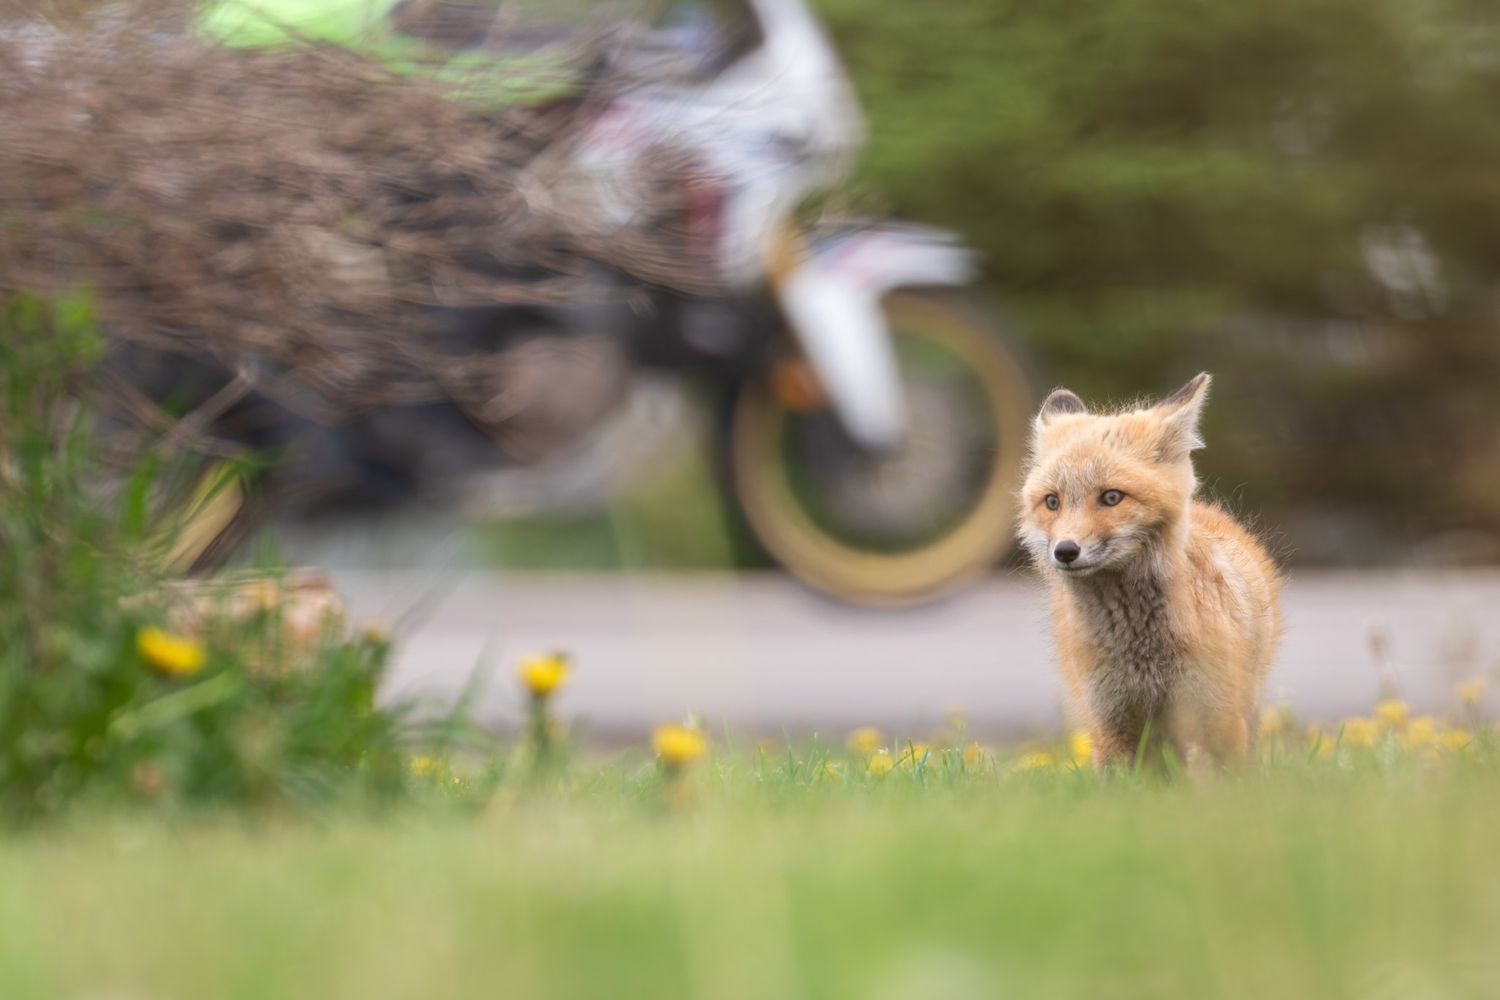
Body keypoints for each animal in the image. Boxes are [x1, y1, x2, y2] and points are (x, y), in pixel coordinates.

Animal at [1017, 372, 1281, 768]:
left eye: (1111, 497)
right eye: (1052, 502)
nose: (1065, 551)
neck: (1139, 650)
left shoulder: (1214, 714)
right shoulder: (1109, 721)